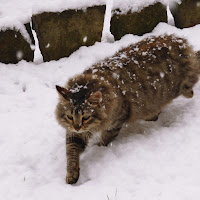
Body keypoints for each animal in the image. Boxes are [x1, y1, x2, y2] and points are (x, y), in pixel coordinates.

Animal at [55, 33, 200, 184]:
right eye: (70, 116)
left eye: (86, 117)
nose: (77, 127)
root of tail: (181, 41)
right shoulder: (74, 134)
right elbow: (72, 152)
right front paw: (72, 174)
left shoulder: (115, 122)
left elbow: (105, 140)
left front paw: (99, 148)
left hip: (182, 86)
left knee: (191, 84)